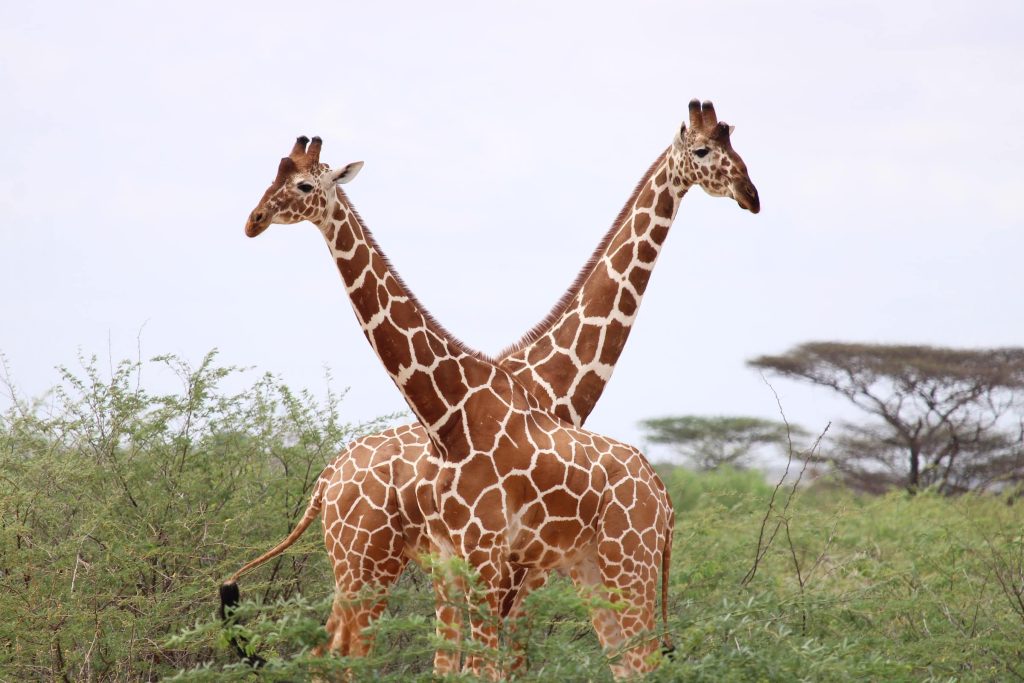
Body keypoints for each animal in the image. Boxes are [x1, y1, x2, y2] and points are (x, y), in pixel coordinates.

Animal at [222, 100, 759, 673]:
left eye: (303, 184)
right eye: (704, 150)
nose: (751, 193)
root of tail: (326, 478)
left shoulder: (502, 564)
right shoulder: (481, 561)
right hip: (368, 557)